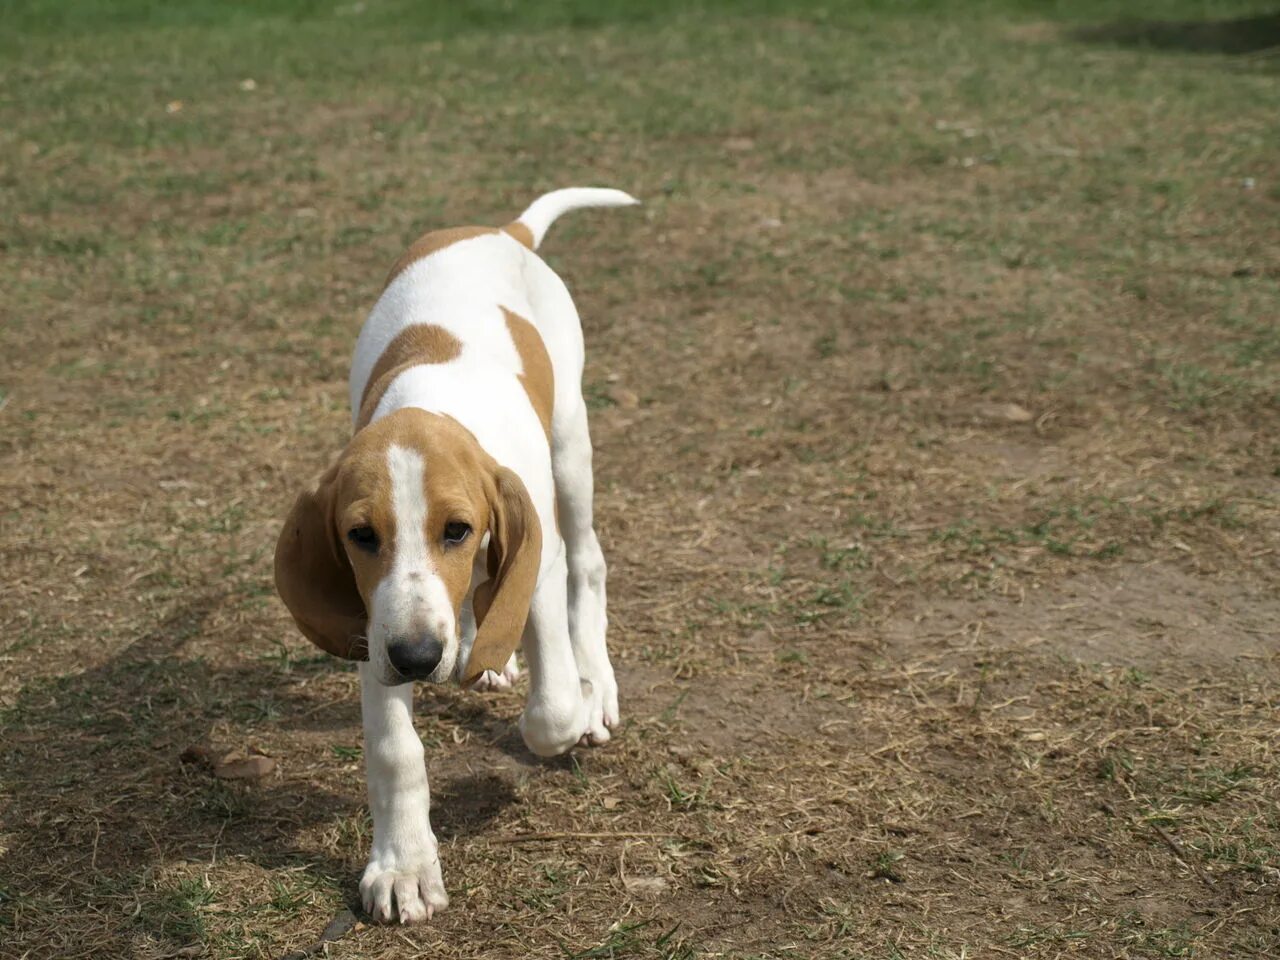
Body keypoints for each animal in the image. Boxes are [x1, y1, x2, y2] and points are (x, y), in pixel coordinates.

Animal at [273, 185, 634, 926]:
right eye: (360, 537)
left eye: (458, 529)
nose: (418, 658)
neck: (433, 403)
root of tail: (503, 230)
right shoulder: (375, 623)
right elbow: (395, 750)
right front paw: (404, 866)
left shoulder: (534, 565)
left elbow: (552, 709)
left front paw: (578, 702)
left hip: (572, 448)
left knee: (588, 564)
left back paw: (595, 681)